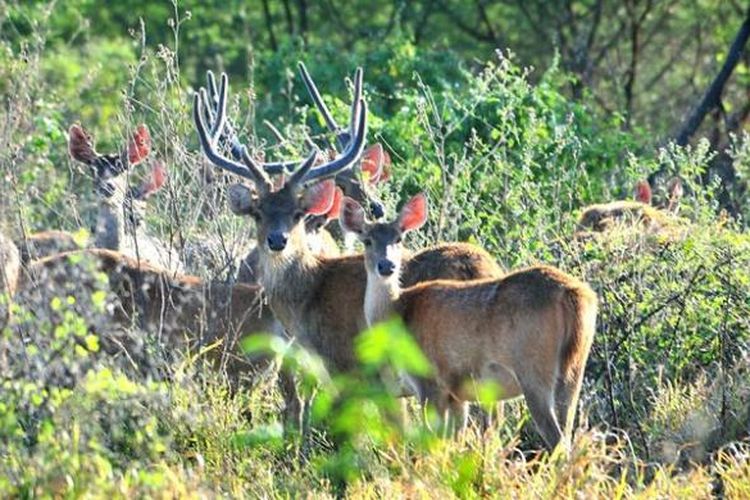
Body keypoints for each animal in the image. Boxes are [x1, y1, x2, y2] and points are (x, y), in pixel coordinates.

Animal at [192, 69, 506, 430]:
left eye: (298, 213)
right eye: (257, 212)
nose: (277, 240)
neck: (307, 298)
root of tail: (475, 267)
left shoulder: (348, 368)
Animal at [340, 192, 600, 450]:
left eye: (399, 238)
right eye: (367, 240)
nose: (387, 265)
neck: (399, 311)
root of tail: (575, 295)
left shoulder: (430, 381)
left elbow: (433, 443)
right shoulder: (455, 392)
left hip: (534, 369)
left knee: (557, 440)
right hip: (574, 368)